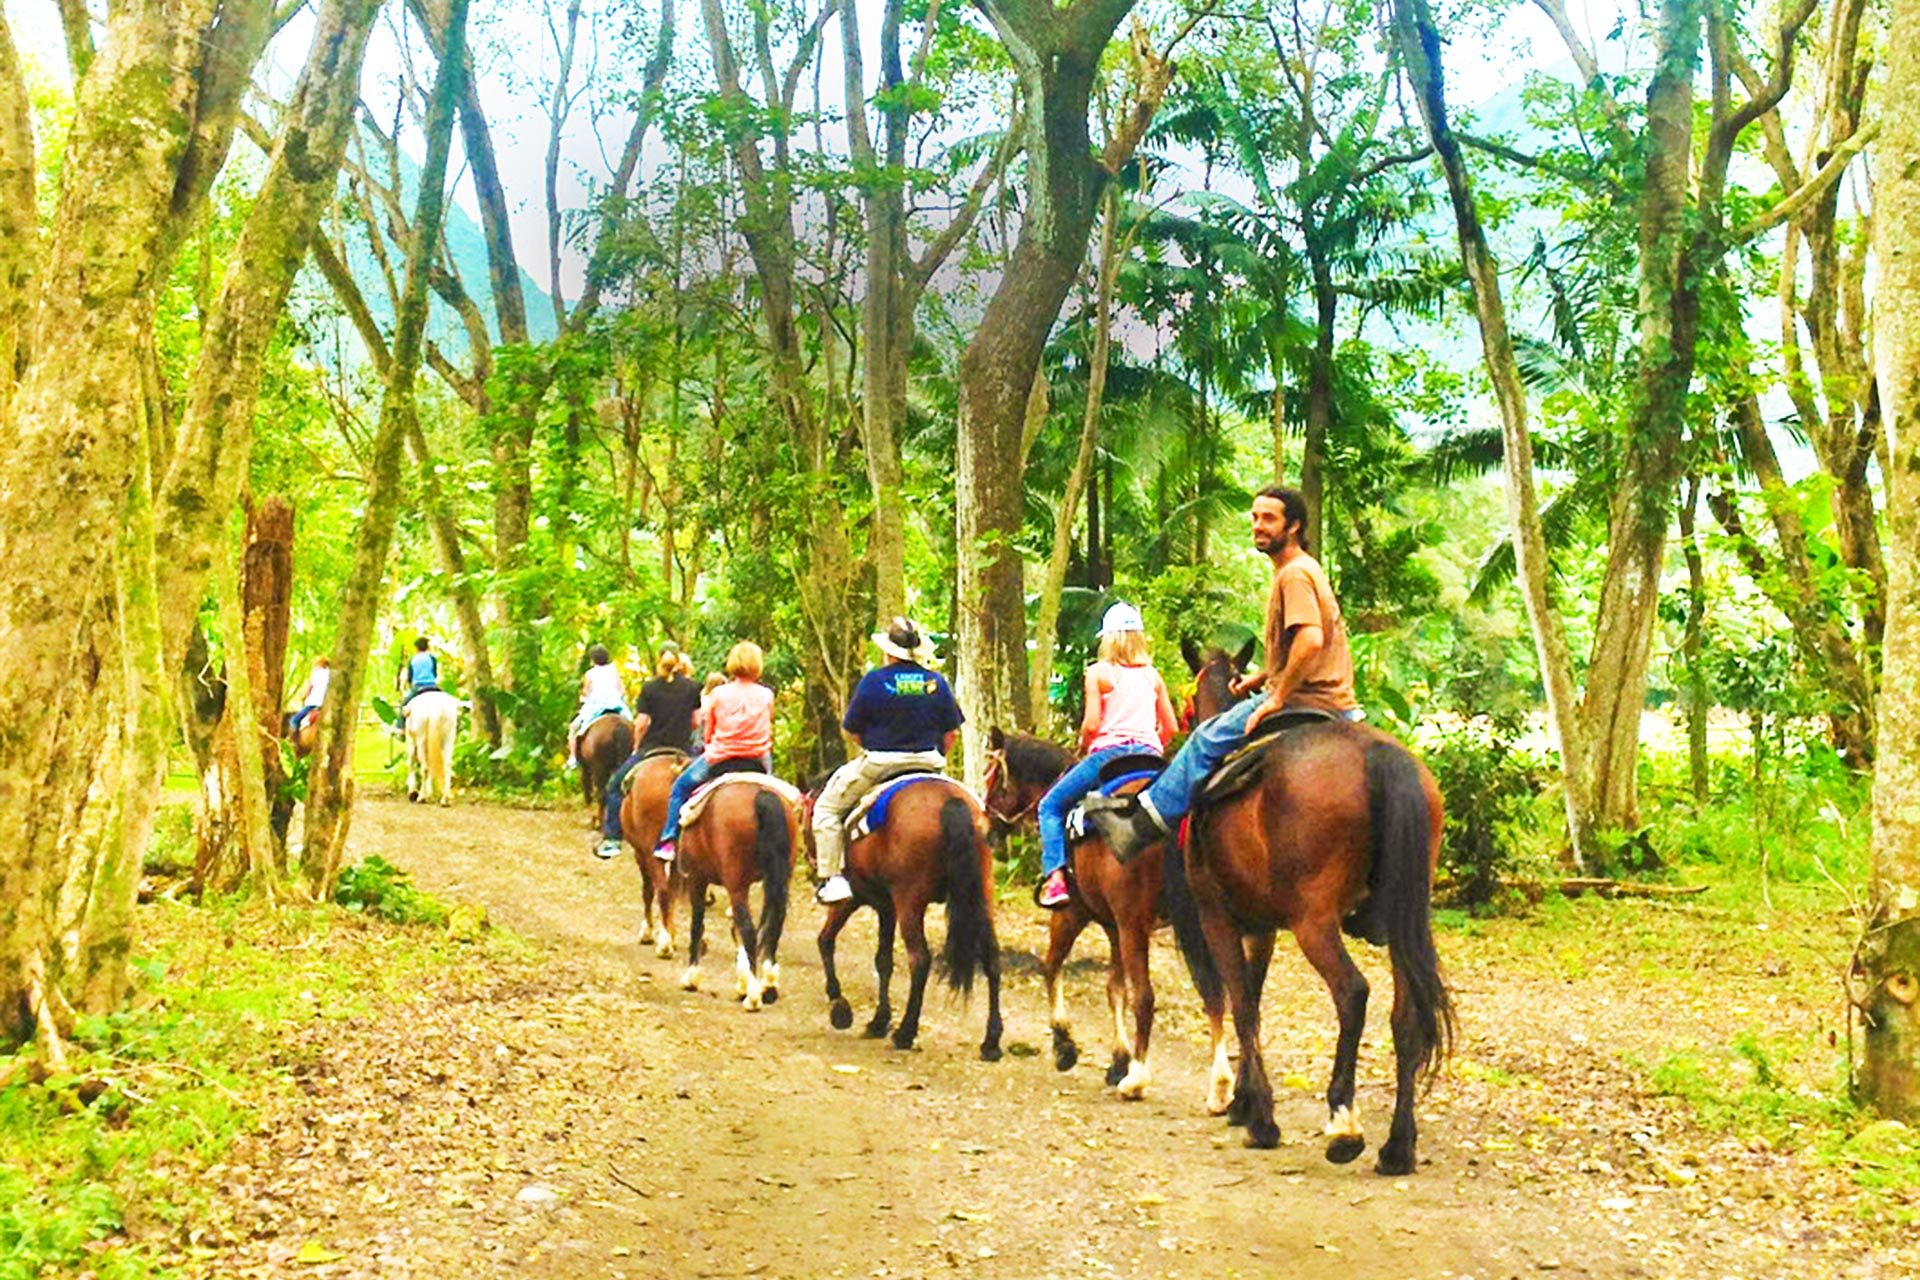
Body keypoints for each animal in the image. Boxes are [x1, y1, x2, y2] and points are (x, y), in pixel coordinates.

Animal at [618, 752, 687, 959]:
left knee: (661, 890)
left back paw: (664, 945)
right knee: (668, 890)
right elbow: (673, 890)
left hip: (650, 850)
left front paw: (647, 932)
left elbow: (648, 890)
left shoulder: (640, 852)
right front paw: (672, 934)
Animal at [675, 782, 794, 1013]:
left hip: (735, 884)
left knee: (748, 929)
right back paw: (768, 986)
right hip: (778, 878)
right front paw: (743, 983)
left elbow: (697, 925)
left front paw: (691, 978)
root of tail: (762, 796)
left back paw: (754, 998)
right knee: (774, 924)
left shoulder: (697, 878)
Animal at [810, 782, 1006, 1059]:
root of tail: (950, 800)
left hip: (909, 900)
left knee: (920, 959)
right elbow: (883, 961)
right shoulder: (886, 908)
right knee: (992, 958)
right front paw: (878, 1021)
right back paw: (991, 1041)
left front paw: (840, 1007)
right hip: (982, 894)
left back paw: (905, 1032)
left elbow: (825, 941)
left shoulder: (852, 899)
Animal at [1152, 717, 1451, 1174]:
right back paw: (1398, 1147)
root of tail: (1376, 752)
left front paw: (1260, 1119)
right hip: (1404, 922)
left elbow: (1243, 1007)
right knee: (1406, 1018)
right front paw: (1243, 1103)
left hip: (1313, 923)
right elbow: (1253, 1002)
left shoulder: (1216, 918)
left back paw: (1344, 1126)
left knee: (1352, 992)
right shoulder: (1260, 929)